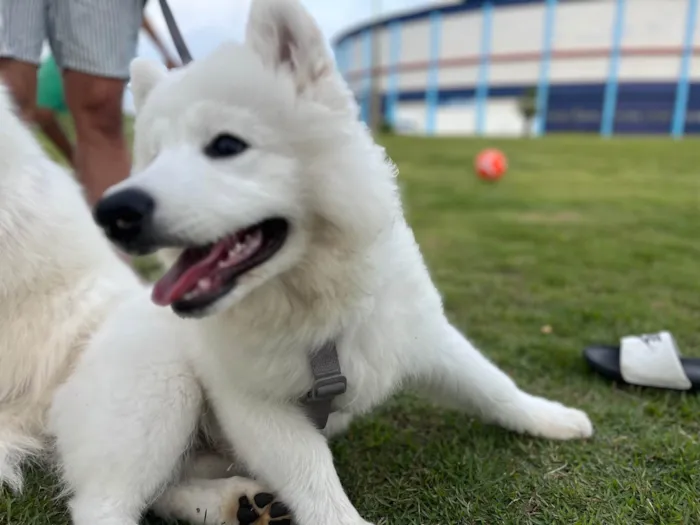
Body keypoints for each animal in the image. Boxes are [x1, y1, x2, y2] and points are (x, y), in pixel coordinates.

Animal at [4, 1, 592, 524]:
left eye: (226, 145)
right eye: (153, 158)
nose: (115, 212)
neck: (311, 306)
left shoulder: (420, 338)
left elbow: (493, 385)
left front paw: (552, 418)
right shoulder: (258, 407)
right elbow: (316, 480)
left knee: (164, 491)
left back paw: (236, 504)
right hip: (161, 392)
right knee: (105, 504)